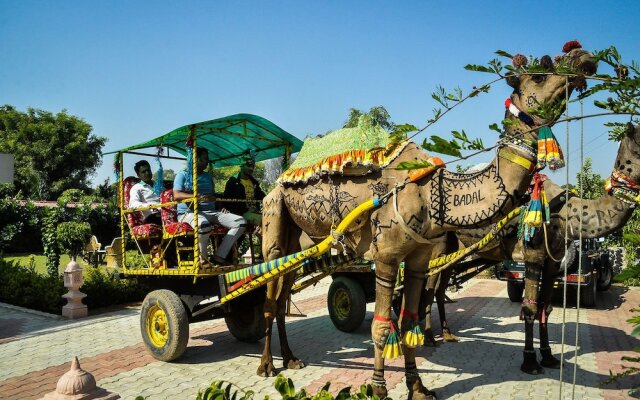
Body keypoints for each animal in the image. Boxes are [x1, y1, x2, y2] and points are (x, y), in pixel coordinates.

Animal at [256, 44, 596, 400]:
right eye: (540, 73)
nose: (583, 57)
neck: (432, 192)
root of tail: (280, 178)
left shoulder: (419, 258)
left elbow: (410, 322)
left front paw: (417, 386)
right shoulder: (387, 256)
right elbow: (381, 325)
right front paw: (378, 388)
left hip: (299, 242)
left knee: (281, 296)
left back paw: (291, 359)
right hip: (274, 218)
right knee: (269, 299)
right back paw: (267, 365)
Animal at [424, 123, 640, 376]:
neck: (566, 215)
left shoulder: (553, 260)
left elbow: (546, 306)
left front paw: (548, 356)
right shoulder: (533, 255)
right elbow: (529, 308)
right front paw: (529, 361)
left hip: (453, 251)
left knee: (439, 289)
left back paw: (447, 334)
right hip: (436, 248)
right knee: (428, 289)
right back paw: (428, 337)